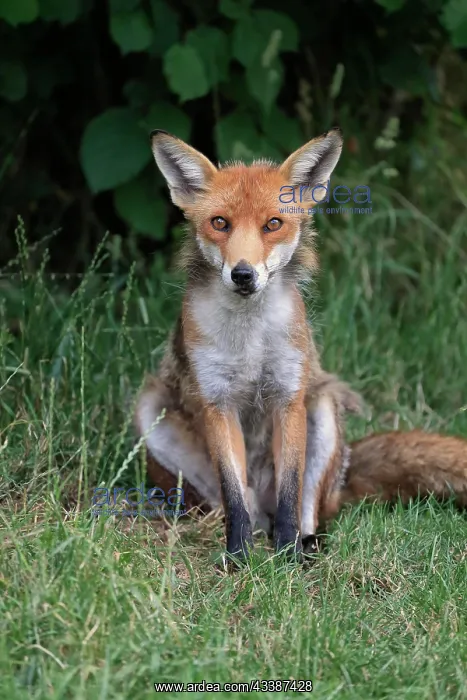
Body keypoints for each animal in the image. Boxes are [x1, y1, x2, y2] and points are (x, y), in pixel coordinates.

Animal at [134, 128, 467, 562]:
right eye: (219, 223)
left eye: (273, 223)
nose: (243, 274)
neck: (250, 340)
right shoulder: (217, 401)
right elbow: (233, 493)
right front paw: (239, 558)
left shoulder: (288, 395)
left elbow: (291, 491)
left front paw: (287, 557)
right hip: (151, 410)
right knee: (241, 506)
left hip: (322, 409)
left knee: (309, 508)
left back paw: (305, 545)